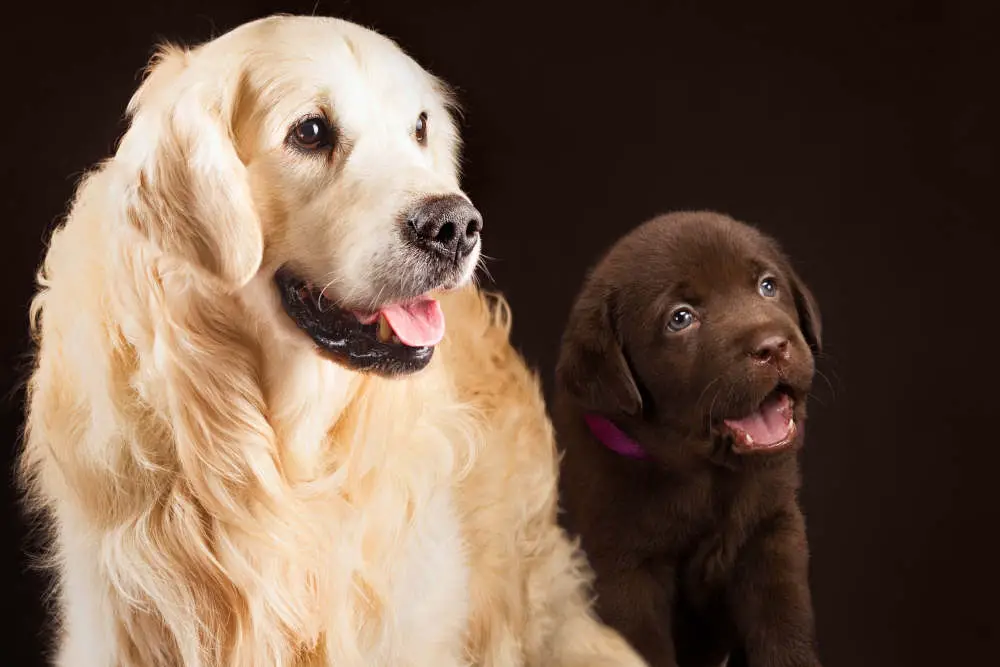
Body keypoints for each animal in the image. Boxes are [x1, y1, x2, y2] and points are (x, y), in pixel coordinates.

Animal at [556, 210, 820, 667]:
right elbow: (641, 648)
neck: (706, 479)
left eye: (768, 286)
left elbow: (784, 629)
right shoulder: (623, 572)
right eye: (680, 318)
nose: (772, 347)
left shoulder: (773, 531)